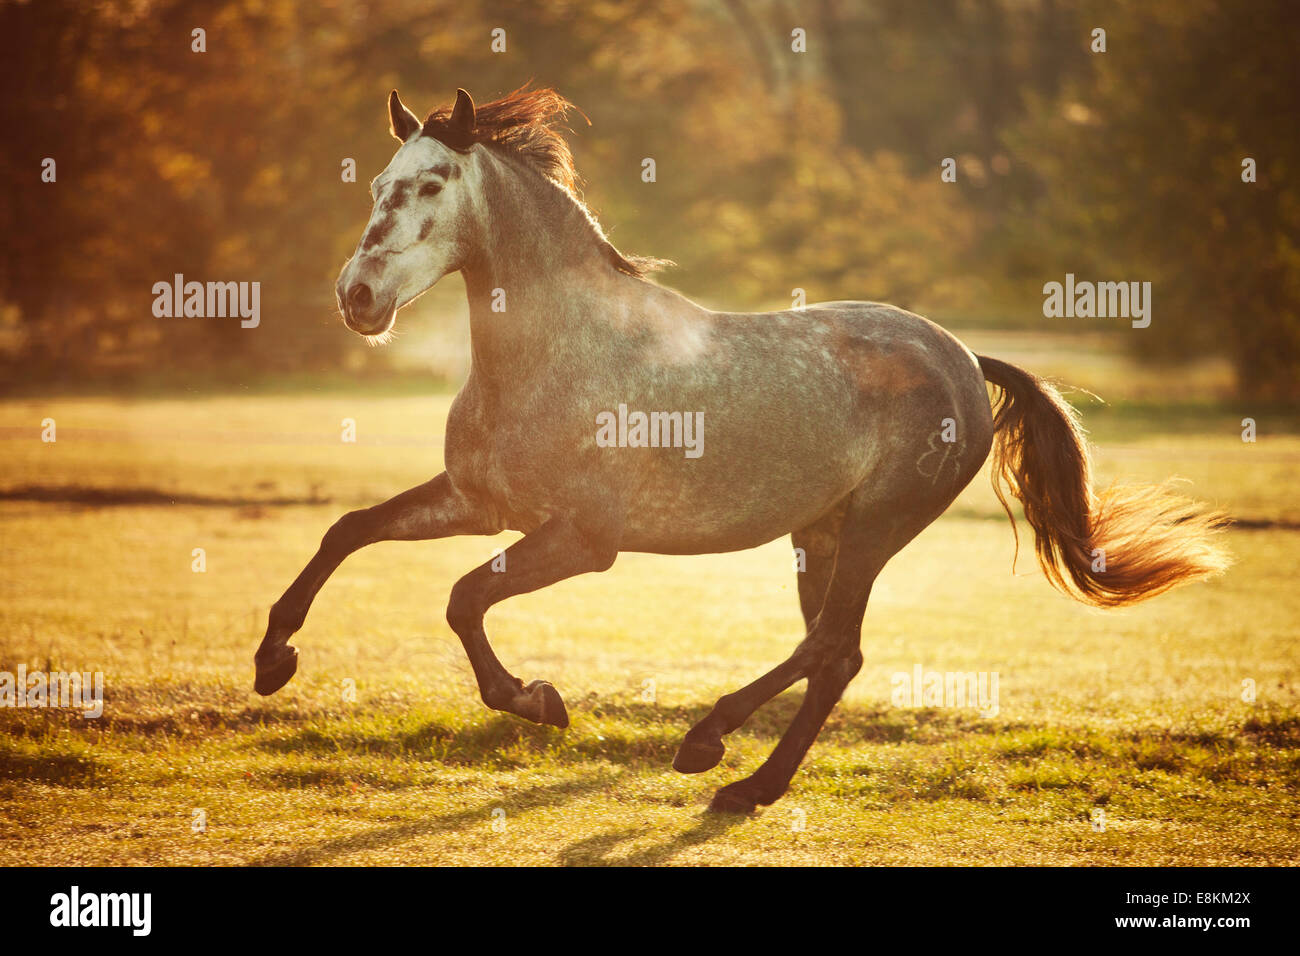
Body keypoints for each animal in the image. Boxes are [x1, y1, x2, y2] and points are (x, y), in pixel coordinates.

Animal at [253, 87, 1227, 816]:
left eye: (429, 185)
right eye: (378, 183)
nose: (358, 297)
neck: (556, 352)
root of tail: (960, 356)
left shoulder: (584, 541)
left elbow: (462, 598)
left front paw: (539, 701)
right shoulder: (480, 503)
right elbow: (349, 530)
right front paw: (273, 661)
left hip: (875, 526)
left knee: (830, 645)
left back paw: (709, 747)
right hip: (820, 534)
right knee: (836, 655)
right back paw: (750, 785)